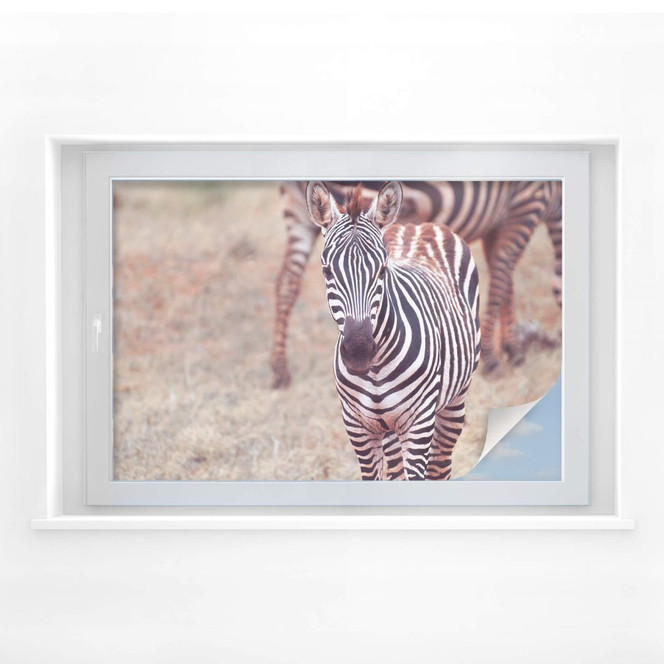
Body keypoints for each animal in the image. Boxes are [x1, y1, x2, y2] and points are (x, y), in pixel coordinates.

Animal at [271, 179, 561, 388]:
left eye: (383, 269)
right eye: (327, 271)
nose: (358, 351)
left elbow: (504, 276)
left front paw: (512, 347)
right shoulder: (527, 203)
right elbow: (503, 273)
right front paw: (495, 358)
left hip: (297, 209)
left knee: (286, 282)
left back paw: (280, 370)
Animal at [306, 181, 481, 481]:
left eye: (382, 270)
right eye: (327, 272)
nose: (359, 350)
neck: (375, 368)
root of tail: (418, 225)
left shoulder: (419, 422)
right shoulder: (357, 425)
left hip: (455, 399)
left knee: (440, 465)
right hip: (389, 428)